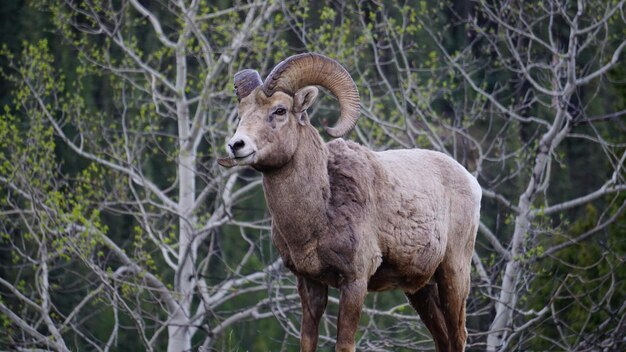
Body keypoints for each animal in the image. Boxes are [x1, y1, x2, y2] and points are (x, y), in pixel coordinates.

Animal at [217, 53, 480, 352]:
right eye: (241, 113)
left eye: (280, 110)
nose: (236, 145)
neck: (318, 216)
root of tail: (470, 181)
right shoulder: (309, 283)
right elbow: (307, 340)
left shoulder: (355, 281)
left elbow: (344, 343)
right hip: (420, 289)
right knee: (442, 338)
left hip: (454, 274)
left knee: (458, 335)